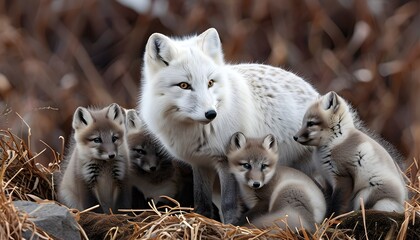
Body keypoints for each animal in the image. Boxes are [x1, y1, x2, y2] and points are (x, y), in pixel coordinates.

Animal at [138, 27, 318, 223]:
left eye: (210, 83)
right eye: (184, 85)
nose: (211, 114)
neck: (195, 131)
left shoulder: (226, 161)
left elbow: (228, 204)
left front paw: (231, 225)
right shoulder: (199, 163)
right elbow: (201, 202)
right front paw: (202, 219)